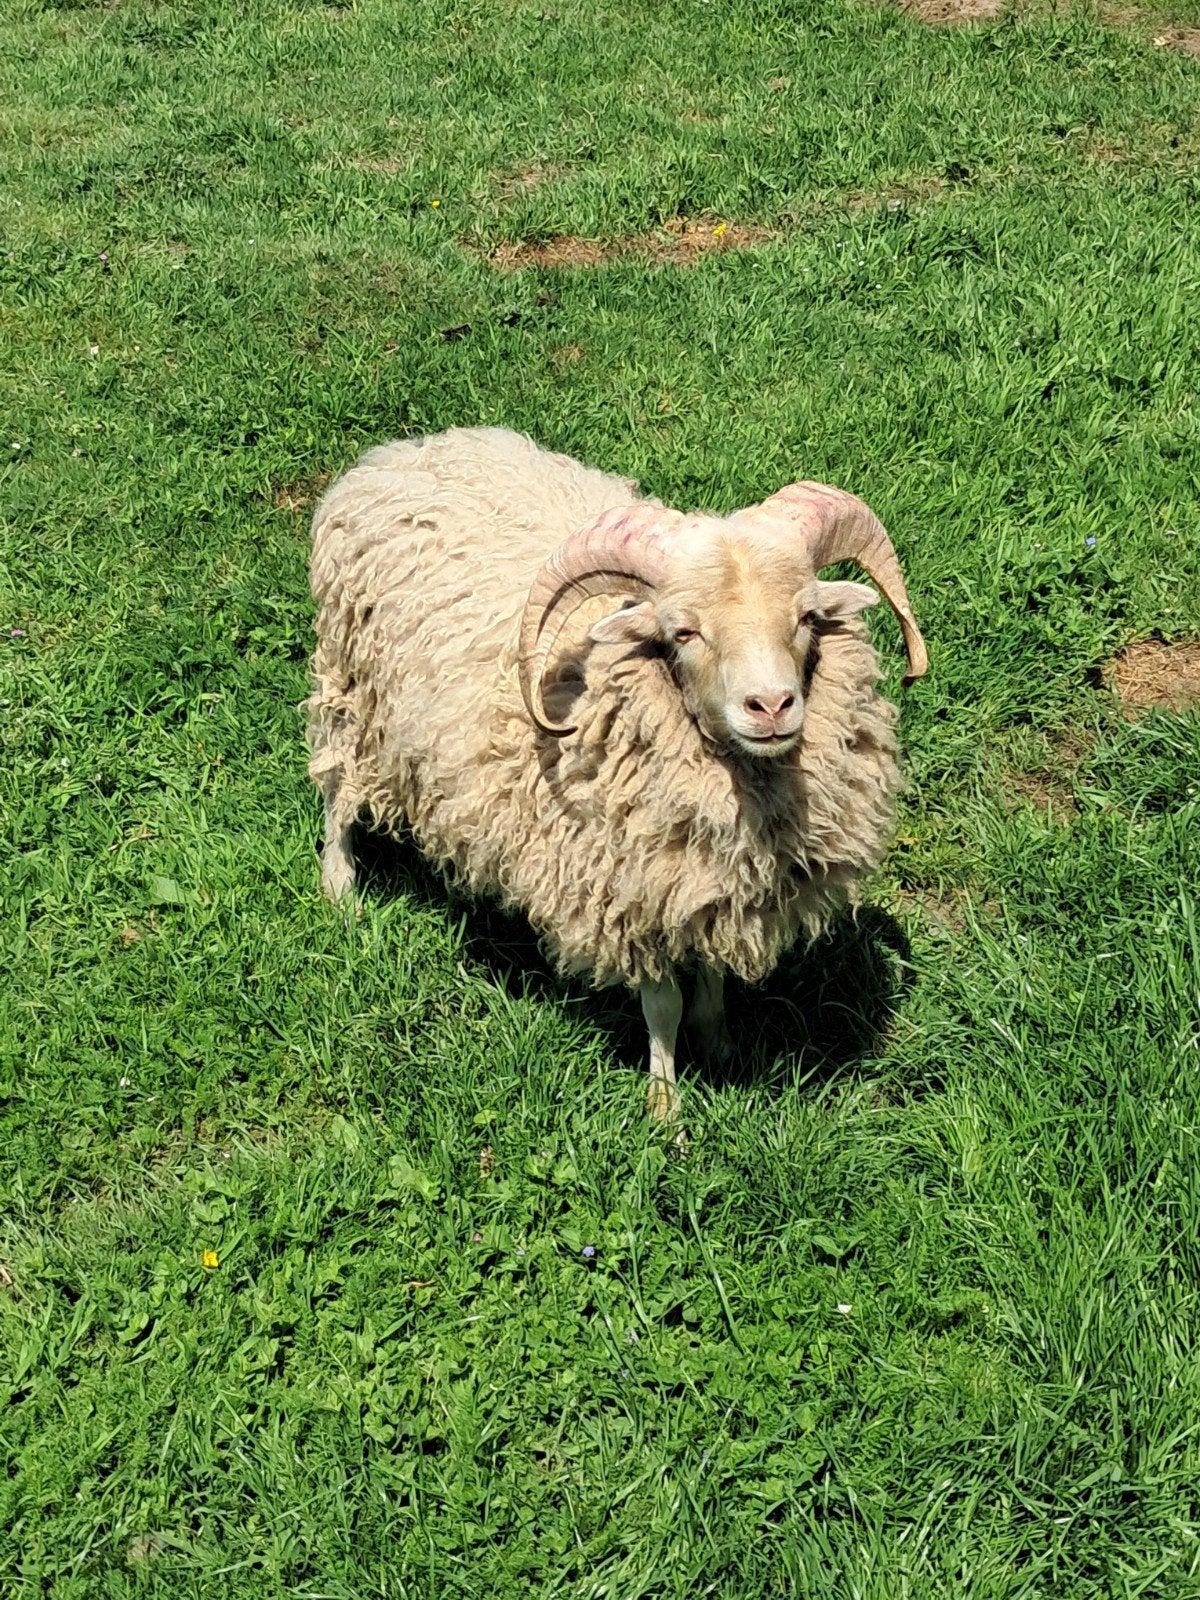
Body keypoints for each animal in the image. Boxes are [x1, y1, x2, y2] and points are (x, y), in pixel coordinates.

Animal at [306, 426, 927, 1124]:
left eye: (805, 618)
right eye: (683, 632)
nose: (770, 706)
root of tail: (398, 454)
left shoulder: (704, 883)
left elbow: (712, 977)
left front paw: (719, 1043)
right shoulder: (629, 887)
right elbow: (663, 1006)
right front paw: (665, 1107)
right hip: (351, 687)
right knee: (338, 786)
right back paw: (341, 887)